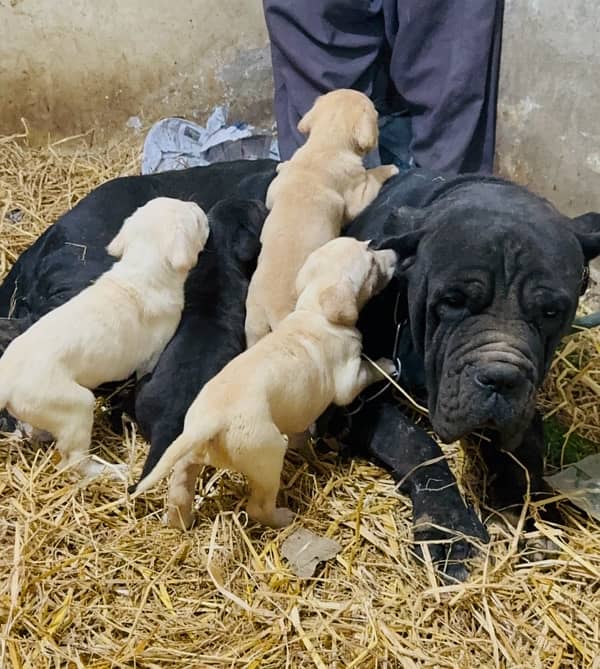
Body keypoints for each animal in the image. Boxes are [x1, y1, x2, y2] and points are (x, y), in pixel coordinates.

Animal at [0, 196, 210, 478]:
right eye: (196, 219)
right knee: (74, 462)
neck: (141, 268)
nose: (198, 206)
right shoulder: (152, 357)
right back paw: (110, 470)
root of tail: (7, 381)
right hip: (77, 406)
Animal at [130, 237, 398, 528]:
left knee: (180, 488)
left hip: (189, 451)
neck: (314, 311)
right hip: (267, 456)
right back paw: (283, 517)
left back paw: (179, 520)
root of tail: (209, 422)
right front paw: (387, 364)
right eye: (371, 259)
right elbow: (368, 371)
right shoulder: (348, 380)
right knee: (258, 507)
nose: (394, 253)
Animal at [244, 88, 398, 348]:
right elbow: (373, 177)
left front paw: (281, 166)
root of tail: (267, 310)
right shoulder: (358, 193)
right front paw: (391, 168)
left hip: (252, 327)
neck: (324, 145)